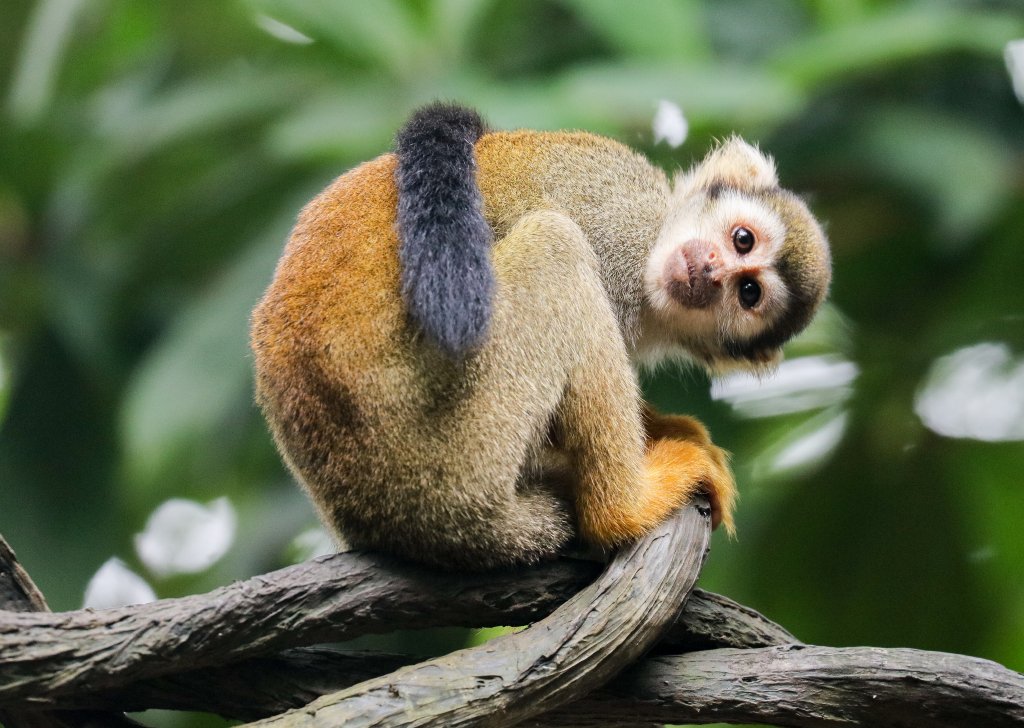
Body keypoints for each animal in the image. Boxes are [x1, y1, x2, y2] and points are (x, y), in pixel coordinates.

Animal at [250, 103, 830, 570]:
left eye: (749, 292)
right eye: (741, 239)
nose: (709, 270)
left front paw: (666, 427)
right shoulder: (618, 225)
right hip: (448, 451)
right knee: (558, 244)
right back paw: (622, 508)